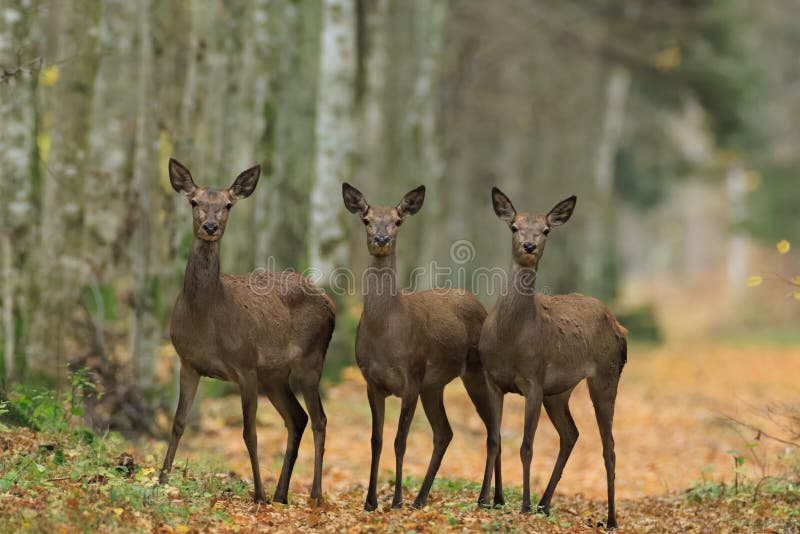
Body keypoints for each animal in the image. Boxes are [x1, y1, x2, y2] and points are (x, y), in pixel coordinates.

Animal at [161, 159, 336, 506]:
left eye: (228, 204)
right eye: (194, 202)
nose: (210, 227)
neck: (206, 318)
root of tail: (329, 301)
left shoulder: (245, 365)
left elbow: (249, 432)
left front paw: (259, 493)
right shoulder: (188, 362)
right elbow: (178, 422)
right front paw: (161, 480)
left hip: (310, 359)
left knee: (320, 419)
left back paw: (314, 493)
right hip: (275, 374)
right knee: (297, 418)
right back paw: (282, 493)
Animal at [340, 186, 504, 512]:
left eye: (397, 220)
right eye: (366, 219)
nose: (381, 239)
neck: (385, 332)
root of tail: (479, 305)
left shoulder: (411, 378)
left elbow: (399, 441)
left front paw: (395, 500)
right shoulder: (371, 382)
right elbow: (376, 441)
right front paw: (371, 501)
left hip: (476, 373)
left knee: (493, 430)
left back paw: (484, 499)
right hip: (434, 385)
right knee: (445, 432)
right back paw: (424, 498)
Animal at [478, 189, 628, 532]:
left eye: (546, 230)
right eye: (514, 226)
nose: (529, 246)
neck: (510, 339)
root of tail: (620, 328)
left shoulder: (533, 380)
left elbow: (526, 446)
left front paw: (521, 505)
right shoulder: (492, 378)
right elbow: (493, 439)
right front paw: (486, 500)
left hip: (606, 374)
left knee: (609, 446)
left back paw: (610, 519)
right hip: (559, 391)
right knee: (571, 433)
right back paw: (544, 504)